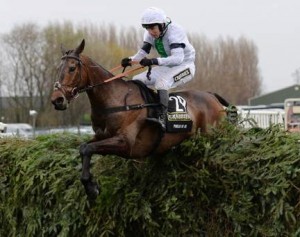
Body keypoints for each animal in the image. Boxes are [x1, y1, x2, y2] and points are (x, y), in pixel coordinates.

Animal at [50, 39, 236, 200]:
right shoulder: (101, 136)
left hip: (212, 136)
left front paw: (91, 187)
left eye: (72, 68)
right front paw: (90, 185)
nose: (57, 99)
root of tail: (212, 96)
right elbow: (84, 148)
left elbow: (89, 149)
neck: (114, 99)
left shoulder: (126, 143)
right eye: (58, 68)